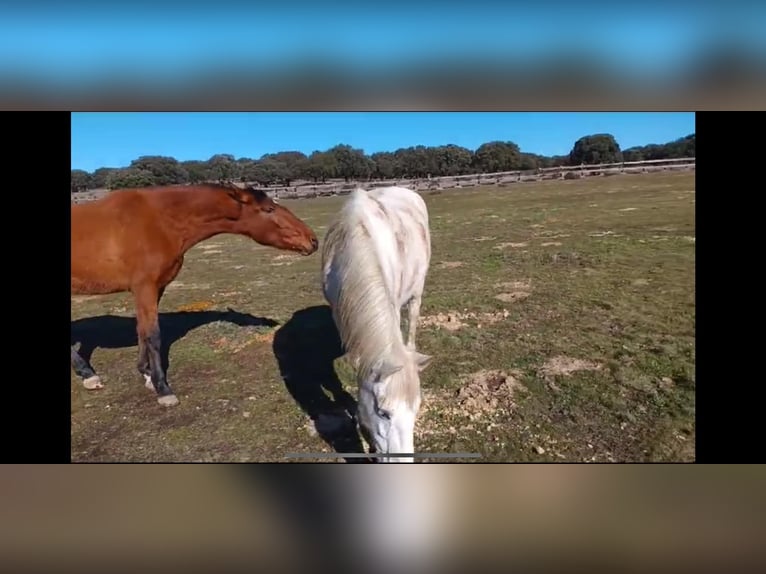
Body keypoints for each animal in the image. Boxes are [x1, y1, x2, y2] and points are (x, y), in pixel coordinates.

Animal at [73, 182, 320, 408]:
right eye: (268, 209)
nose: (313, 240)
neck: (159, 222)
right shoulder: (145, 288)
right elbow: (153, 335)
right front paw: (163, 389)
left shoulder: (156, 288)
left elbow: (142, 332)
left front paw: (146, 374)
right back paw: (88, 374)